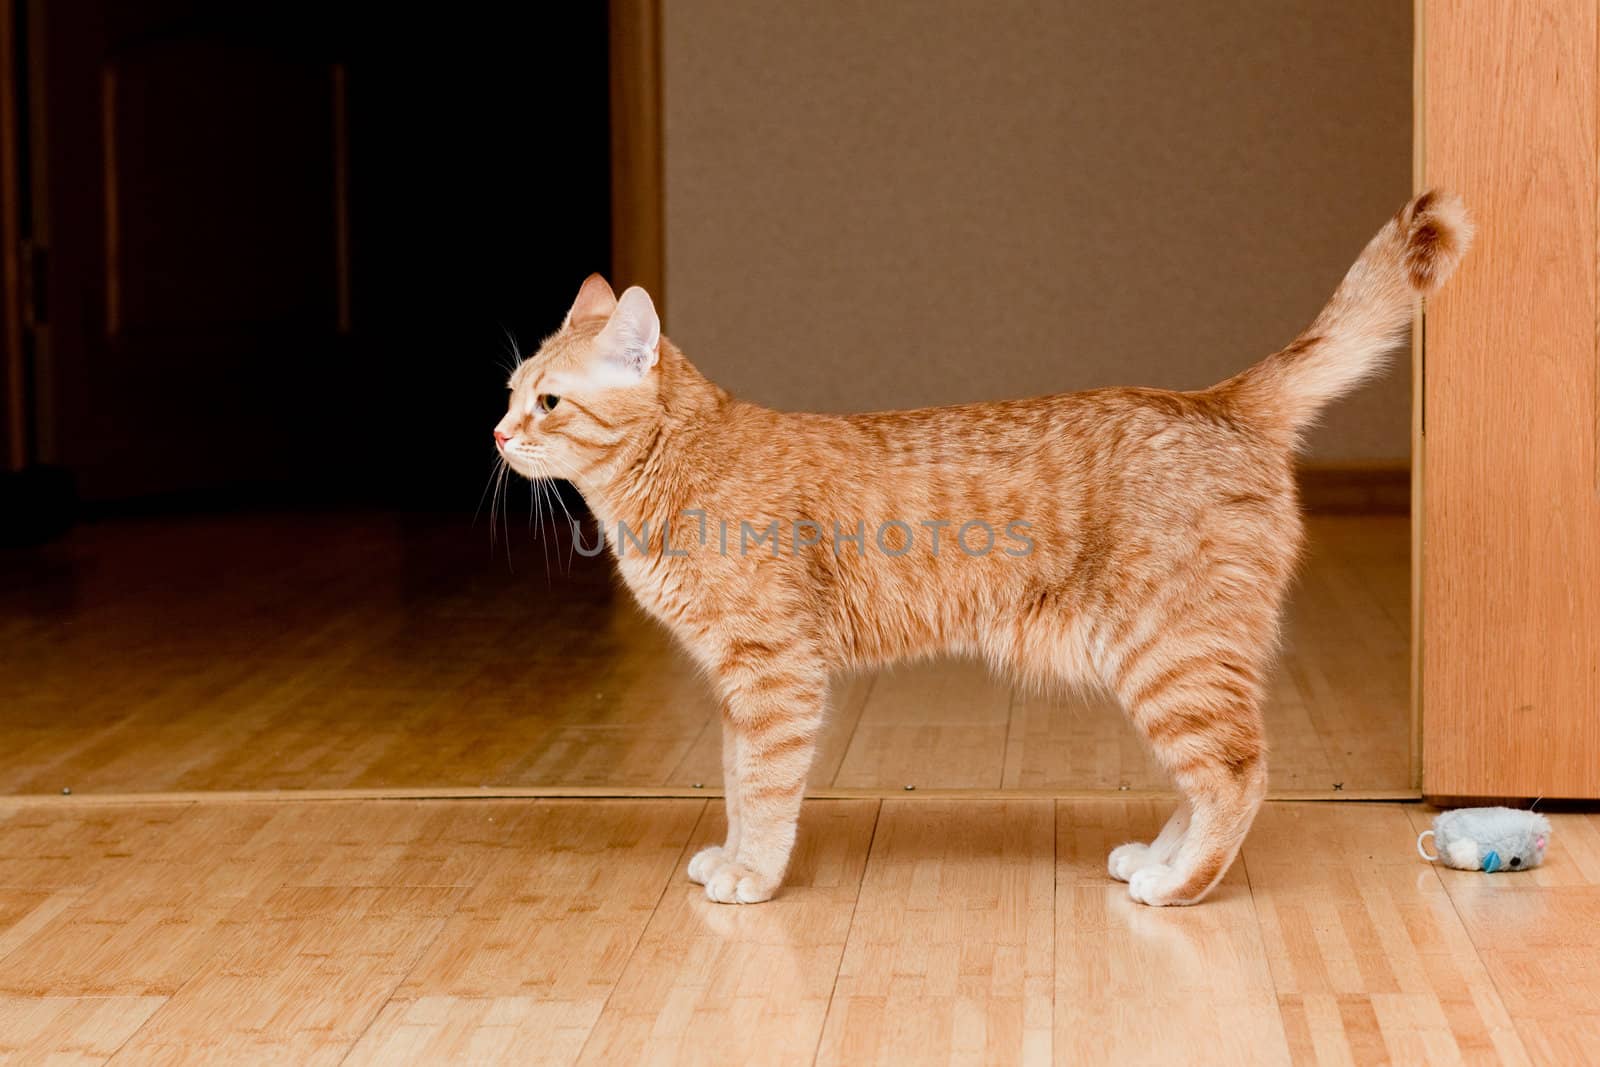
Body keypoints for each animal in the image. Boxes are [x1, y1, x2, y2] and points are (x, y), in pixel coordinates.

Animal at [492, 189, 1465, 902]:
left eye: (548, 402)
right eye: (508, 391)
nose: (496, 434)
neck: (674, 472)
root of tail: (1217, 398)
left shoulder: (773, 674)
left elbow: (765, 789)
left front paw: (753, 873)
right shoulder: (738, 686)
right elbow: (735, 780)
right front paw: (733, 851)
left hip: (1171, 656)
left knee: (1237, 772)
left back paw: (1178, 884)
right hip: (1173, 664)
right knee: (1208, 776)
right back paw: (1155, 857)